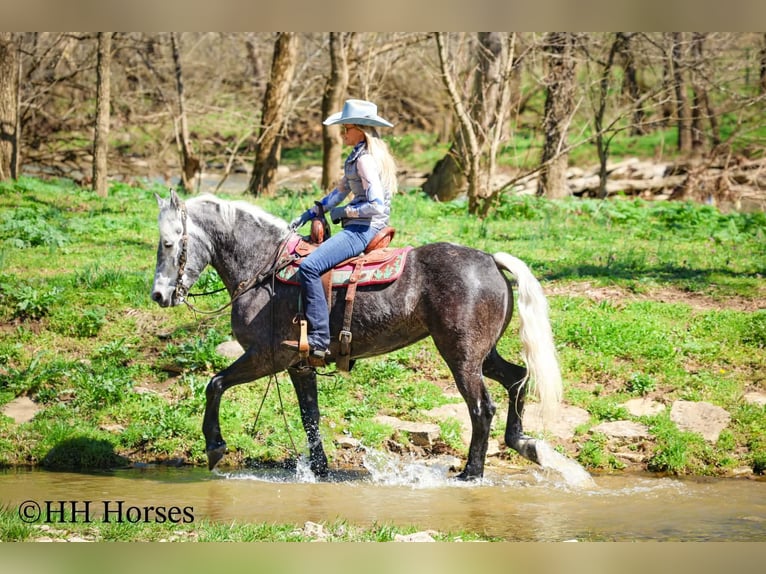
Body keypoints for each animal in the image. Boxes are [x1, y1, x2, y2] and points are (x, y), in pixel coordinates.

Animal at [151, 189, 563, 480]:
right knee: (518, 378)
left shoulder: (267, 356)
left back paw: (471, 472)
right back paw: (522, 442)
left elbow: (216, 384)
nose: (158, 295)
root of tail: (490, 260)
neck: (265, 267)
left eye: (168, 243)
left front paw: (214, 445)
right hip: (482, 354)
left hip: (461, 356)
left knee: (481, 407)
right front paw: (319, 469)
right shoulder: (299, 365)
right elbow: (310, 415)